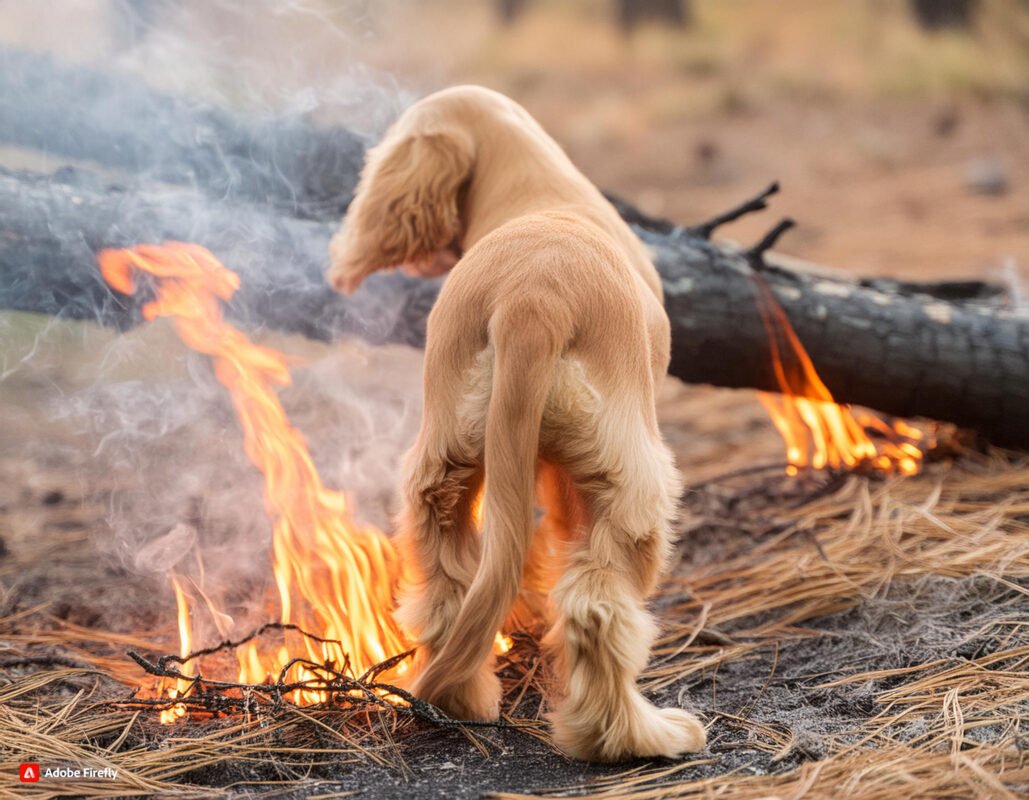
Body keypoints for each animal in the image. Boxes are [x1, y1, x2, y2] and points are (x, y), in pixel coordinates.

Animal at [325, 84, 703, 757]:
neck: (537, 189)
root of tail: (531, 301)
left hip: (444, 461)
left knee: (448, 591)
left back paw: (463, 704)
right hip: (629, 475)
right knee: (596, 609)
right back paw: (635, 735)